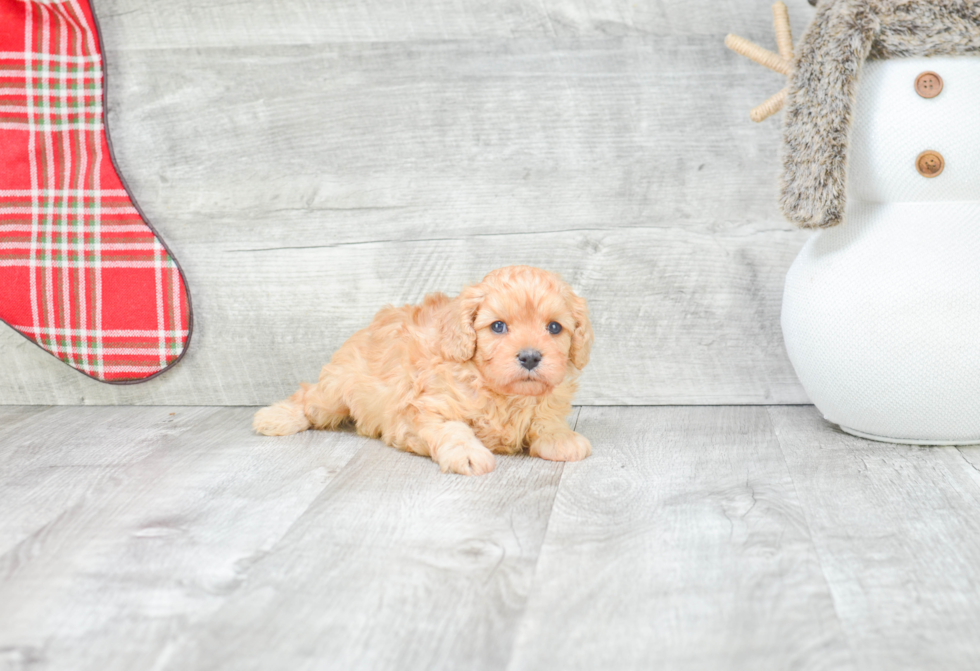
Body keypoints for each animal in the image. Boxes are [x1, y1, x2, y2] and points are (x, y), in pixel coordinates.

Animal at [253, 266, 592, 476]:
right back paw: (275, 417)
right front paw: (468, 454)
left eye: (554, 328)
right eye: (498, 326)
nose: (531, 357)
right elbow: (454, 429)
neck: (501, 392)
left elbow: (546, 421)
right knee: (308, 397)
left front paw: (562, 438)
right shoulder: (423, 409)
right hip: (337, 389)